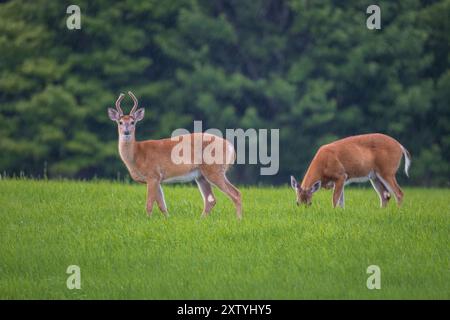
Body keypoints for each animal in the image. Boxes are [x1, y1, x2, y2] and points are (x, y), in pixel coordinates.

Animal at [108, 91, 241, 219]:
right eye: (120, 122)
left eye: (132, 122)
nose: (126, 132)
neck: (137, 154)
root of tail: (231, 147)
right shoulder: (157, 179)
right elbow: (162, 205)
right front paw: (167, 219)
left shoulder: (152, 175)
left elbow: (149, 204)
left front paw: (148, 220)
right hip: (201, 175)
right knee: (211, 200)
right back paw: (201, 220)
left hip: (214, 169)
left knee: (235, 194)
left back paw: (238, 219)